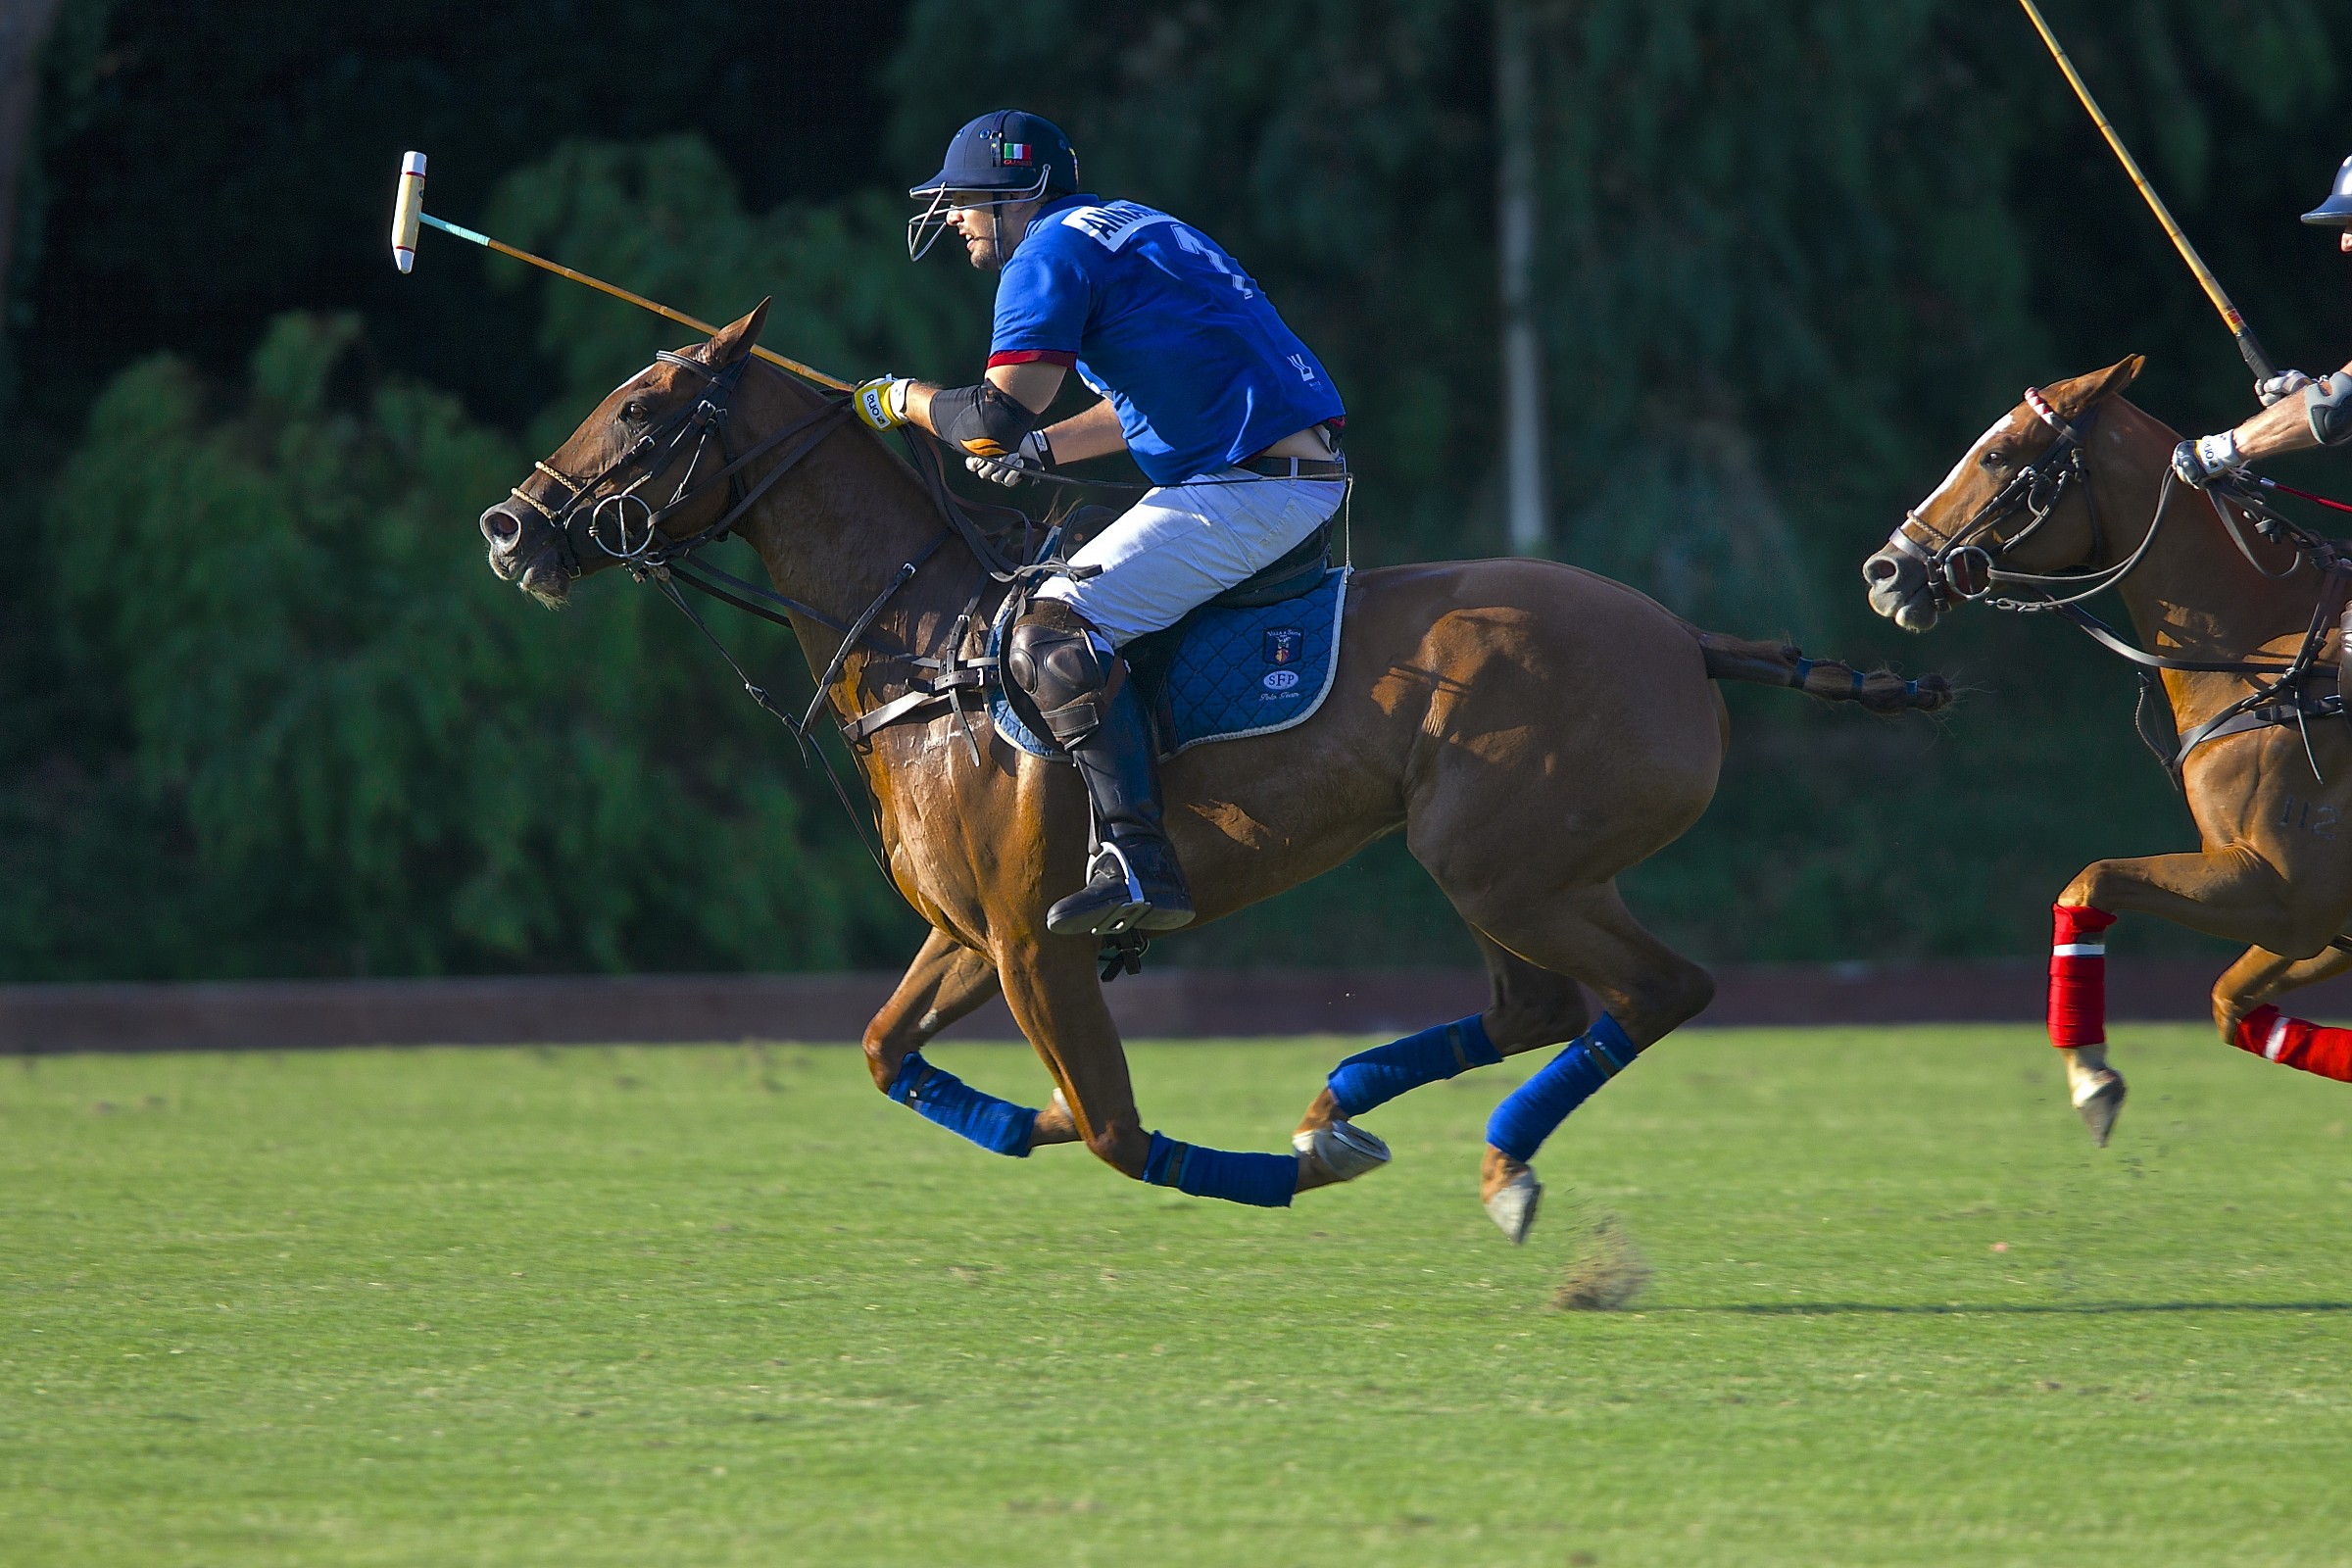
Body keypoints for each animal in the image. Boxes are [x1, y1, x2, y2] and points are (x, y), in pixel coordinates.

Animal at [480, 301, 1951, 1241]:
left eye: (643, 409)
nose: (510, 528)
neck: (932, 649)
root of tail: (1688, 639)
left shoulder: (1034, 939)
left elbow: (1119, 1130)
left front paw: (1271, 1176)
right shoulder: (971, 935)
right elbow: (896, 1054)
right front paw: (1049, 1118)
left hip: (1510, 864)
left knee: (1657, 990)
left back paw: (1462, 1159)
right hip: (1505, 870)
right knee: (1540, 1002)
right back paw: (1355, 1115)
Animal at [1863, 356, 2352, 1144]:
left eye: (1998, 454)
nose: (1884, 571)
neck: (2269, 654)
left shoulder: (2287, 894)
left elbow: (2089, 881)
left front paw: (2092, 1076)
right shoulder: (2315, 923)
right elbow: (2226, 1002)